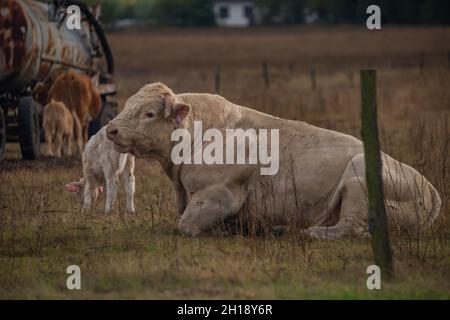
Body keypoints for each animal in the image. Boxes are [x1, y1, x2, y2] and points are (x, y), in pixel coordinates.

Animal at [104, 82, 440, 238]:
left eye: (149, 113)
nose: (111, 130)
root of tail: (430, 189)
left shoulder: (218, 194)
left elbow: (186, 225)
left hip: (359, 182)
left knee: (351, 228)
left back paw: (306, 232)